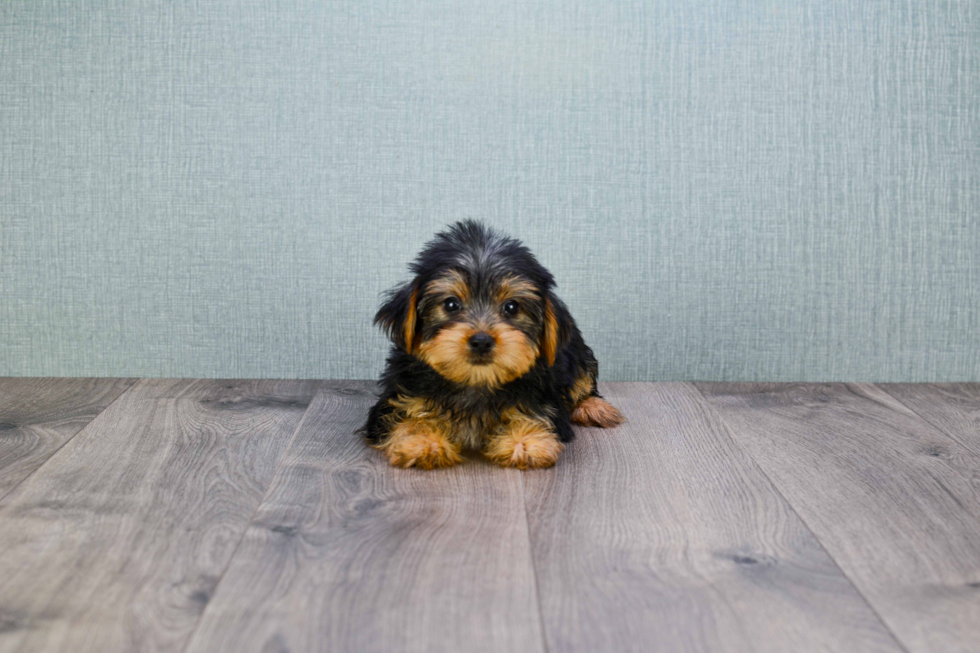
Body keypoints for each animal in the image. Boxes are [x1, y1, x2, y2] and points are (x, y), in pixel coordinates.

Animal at [358, 219, 620, 468]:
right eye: (451, 304)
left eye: (511, 307)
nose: (481, 341)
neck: (476, 381)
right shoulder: (397, 399)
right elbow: (405, 419)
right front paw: (423, 441)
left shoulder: (545, 398)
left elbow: (536, 415)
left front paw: (526, 441)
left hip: (575, 352)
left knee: (583, 380)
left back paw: (593, 407)